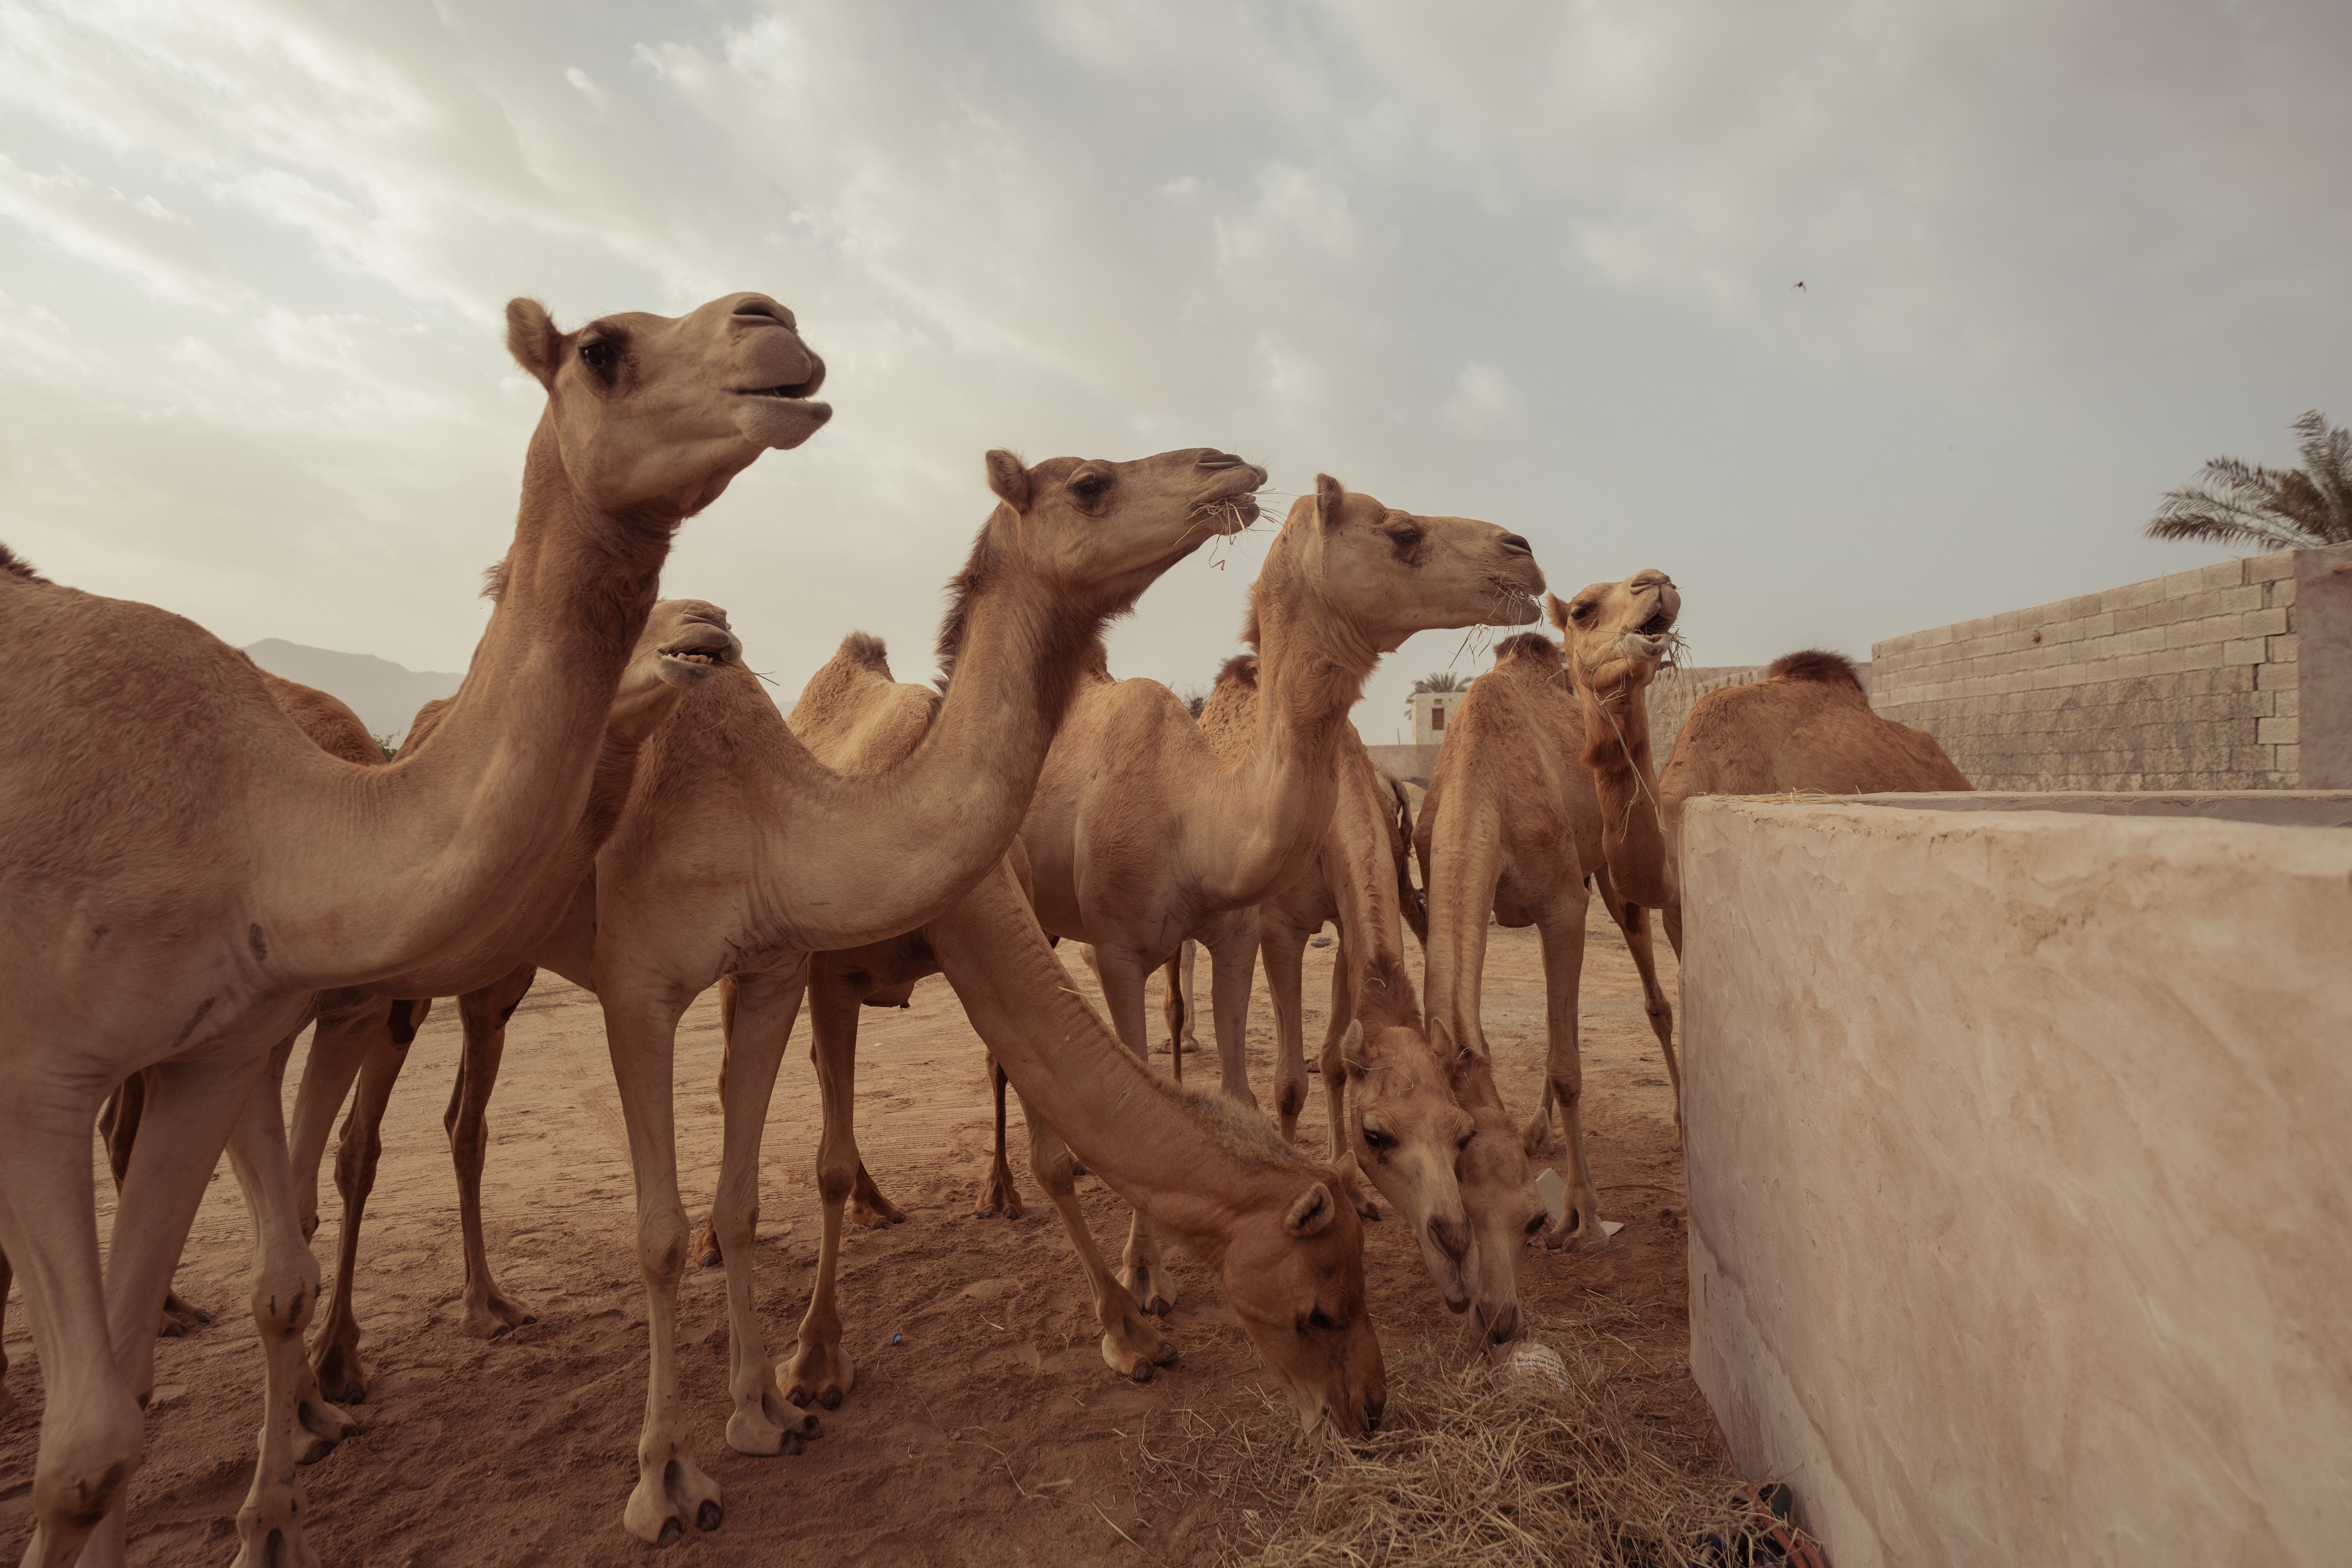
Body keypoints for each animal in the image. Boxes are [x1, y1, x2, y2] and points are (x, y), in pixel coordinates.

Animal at [0, 288, 827, 1568]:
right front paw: (297, 1443)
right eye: (600, 348)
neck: (256, 823)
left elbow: (141, 1384)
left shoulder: (239, 1037)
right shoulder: (46, 1072)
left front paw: (280, 1484)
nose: (773, 320)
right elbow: (100, 1428)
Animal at [1018, 476, 1545, 1318]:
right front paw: (1152, 1276)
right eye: (1401, 532)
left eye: (1462, 1132)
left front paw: (1335, 1189)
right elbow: (1256, 1082)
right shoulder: (1219, 936)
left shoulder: (1280, 929)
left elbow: (1308, 1067)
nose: (1522, 552)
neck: (1195, 813)